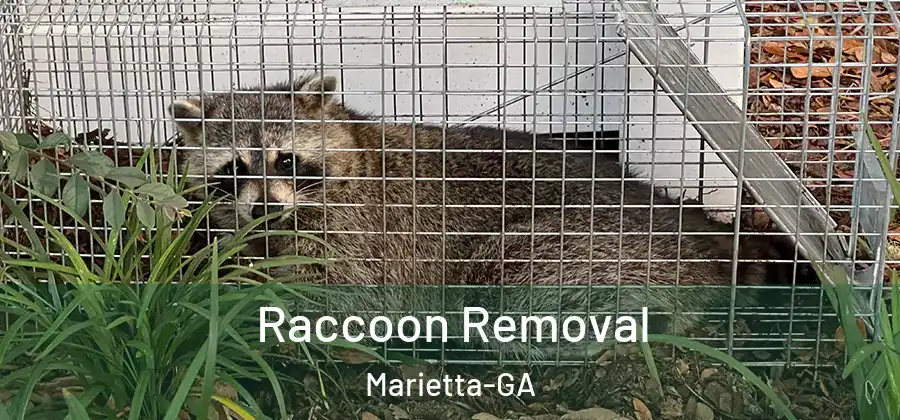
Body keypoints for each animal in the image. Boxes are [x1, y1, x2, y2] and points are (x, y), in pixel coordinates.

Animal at [168, 74, 806, 359]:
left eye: (286, 159)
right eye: (234, 169)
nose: (265, 206)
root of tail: (692, 234)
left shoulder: (365, 232)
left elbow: (345, 294)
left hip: (581, 245)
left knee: (512, 281)